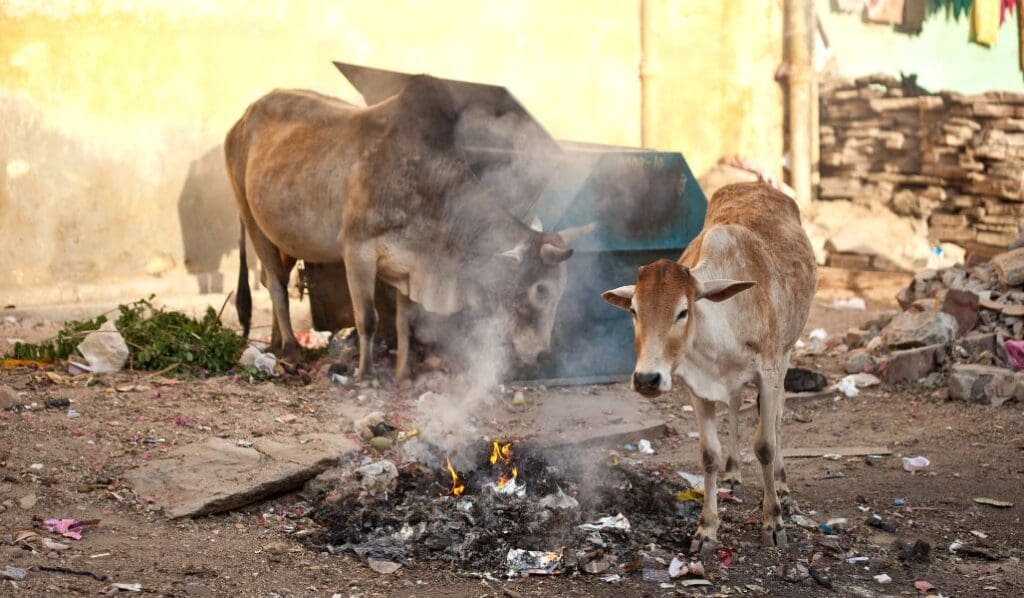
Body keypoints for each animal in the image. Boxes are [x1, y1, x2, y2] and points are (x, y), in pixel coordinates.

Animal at [228, 77, 589, 380]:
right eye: (541, 290)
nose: (543, 356)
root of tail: (244, 116)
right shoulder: (357, 249)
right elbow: (368, 318)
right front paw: (366, 375)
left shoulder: (411, 265)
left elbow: (404, 322)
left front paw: (403, 373)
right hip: (249, 215)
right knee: (276, 285)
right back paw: (290, 350)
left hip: (284, 237)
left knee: (274, 279)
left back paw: (276, 343)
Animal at [598, 182, 815, 557]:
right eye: (634, 311)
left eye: (683, 311)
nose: (647, 379)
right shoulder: (698, 387)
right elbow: (709, 455)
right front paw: (706, 530)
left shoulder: (769, 372)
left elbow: (765, 445)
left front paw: (773, 522)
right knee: (735, 407)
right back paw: (733, 474)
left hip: (787, 353)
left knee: (776, 418)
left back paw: (783, 490)